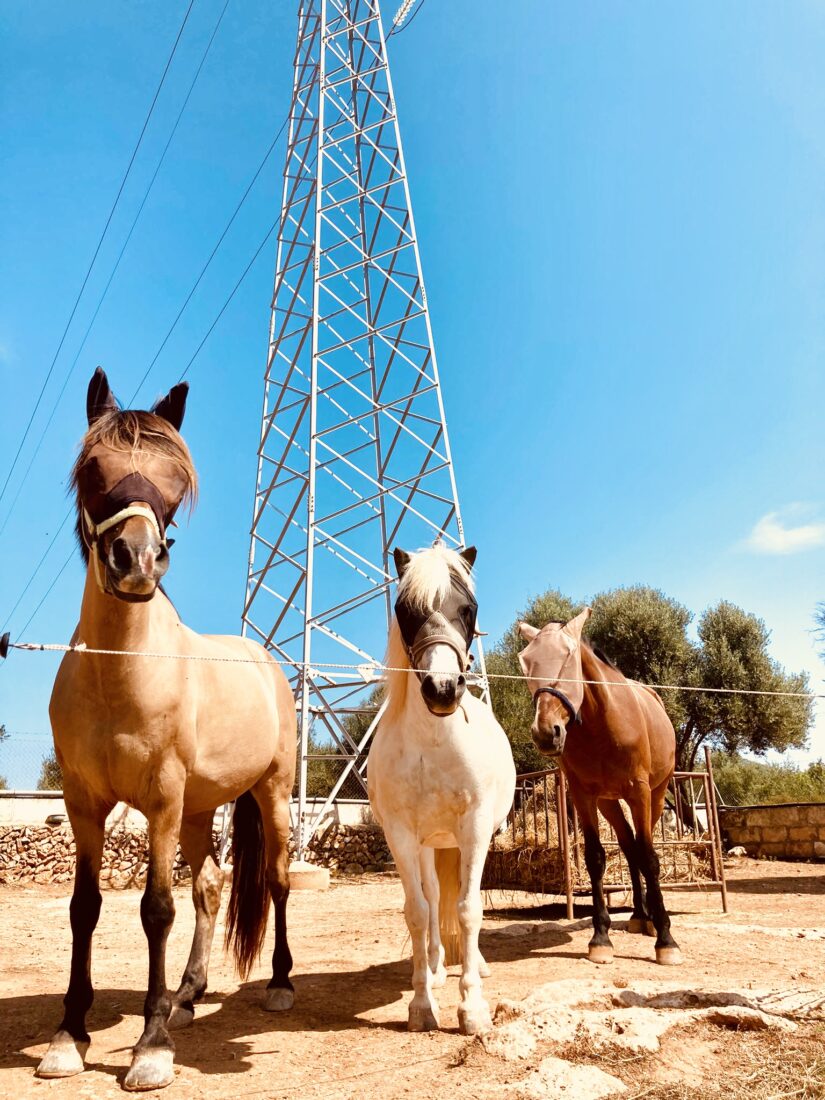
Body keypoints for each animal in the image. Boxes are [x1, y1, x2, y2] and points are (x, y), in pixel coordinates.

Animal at [38, 371, 299, 1091]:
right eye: (93, 468)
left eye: (176, 478)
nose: (135, 560)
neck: (121, 671)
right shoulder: (84, 804)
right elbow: (84, 907)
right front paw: (69, 1035)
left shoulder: (158, 801)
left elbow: (156, 909)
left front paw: (150, 1047)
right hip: (199, 809)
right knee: (210, 886)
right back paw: (187, 993)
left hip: (269, 794)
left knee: (275, 879)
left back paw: (278, 984)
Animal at [369, 545, 517, 1034]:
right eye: (404, 610)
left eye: (468, 608)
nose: (442, 688)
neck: (434, 741)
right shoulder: (401, 836)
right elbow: (418, 911)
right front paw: (421, 1004)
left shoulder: (474, 829)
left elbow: (470, 909)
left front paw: (472, 1007)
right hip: (430, 845)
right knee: (435, 901)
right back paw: (434, 969)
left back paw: (477, 966)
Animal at [517, 616, 686, 968]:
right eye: (525, 662)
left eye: (569, 656)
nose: (545, 732)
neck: (601, 725)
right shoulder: (583, 795)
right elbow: (596, 858)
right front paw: (601, 938)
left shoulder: (639, 793)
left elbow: (650, 858)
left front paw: (666, 940)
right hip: (609, 802)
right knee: (629, 847)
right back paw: (640, 915)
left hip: (655, 794)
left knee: (641, 849)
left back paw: (652, 920)